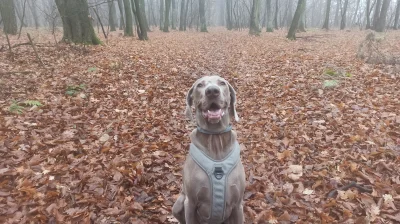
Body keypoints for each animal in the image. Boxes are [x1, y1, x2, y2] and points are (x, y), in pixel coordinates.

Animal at [173, 76, 245, 223]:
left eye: (222, 83)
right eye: (199, 85)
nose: (212, 91)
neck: (215, 138)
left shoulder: (238, 205)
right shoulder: (190, 203)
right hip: (178, 204)